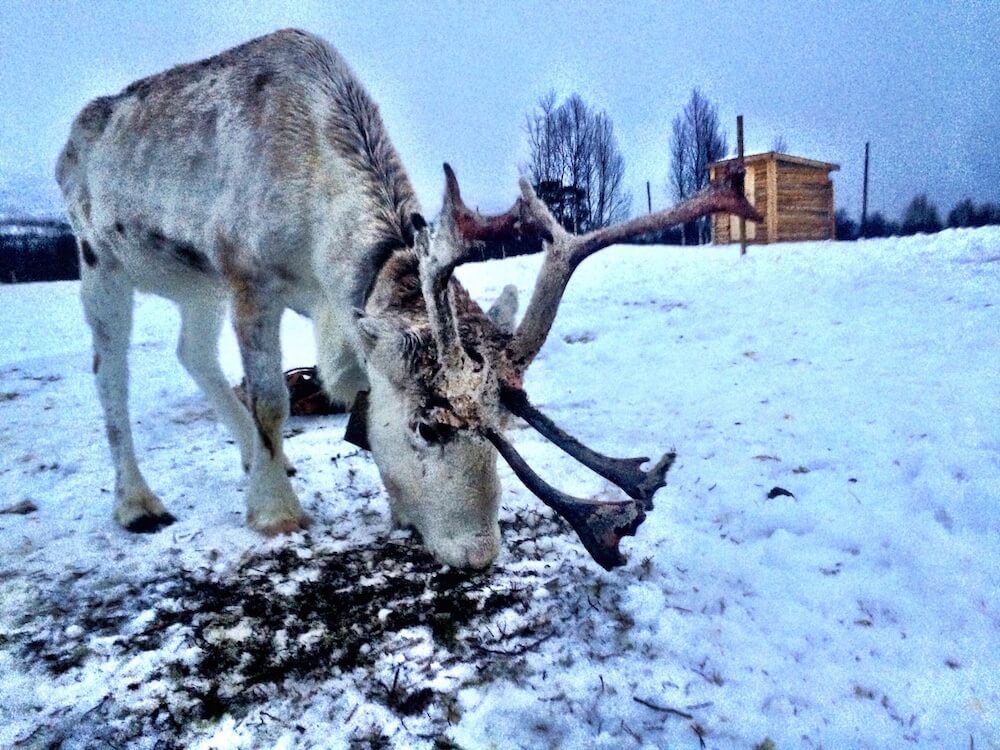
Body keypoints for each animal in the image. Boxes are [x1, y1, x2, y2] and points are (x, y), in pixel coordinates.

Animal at [56, 29, 761, 570]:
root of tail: (71, 140)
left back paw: (253, 461)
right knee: (109, 374)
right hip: (99, 258)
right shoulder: (247, 277)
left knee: (191, 353)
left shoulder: (333, 304)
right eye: (428, 426)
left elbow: (358, 398)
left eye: (504, 423)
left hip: (192, 282)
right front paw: (275, 513)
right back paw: (139, 503)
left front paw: (381, 503)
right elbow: (272, 400)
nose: (479, 554)